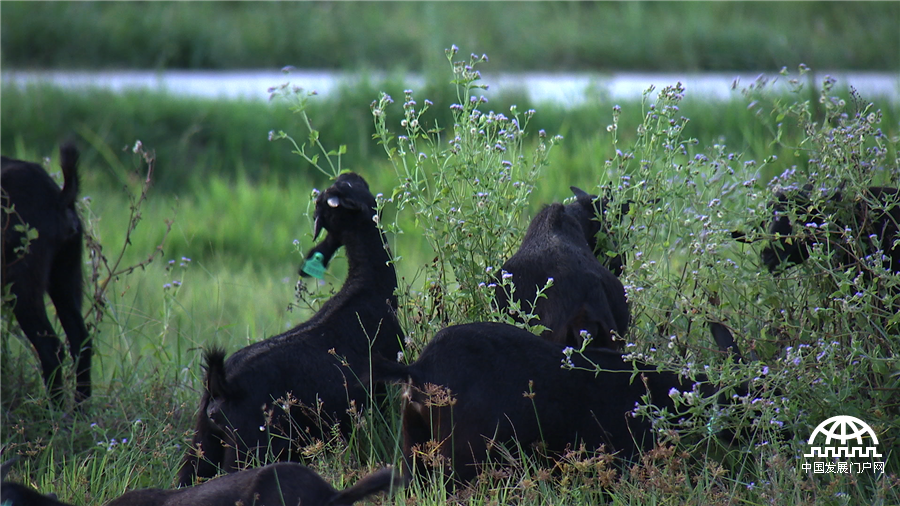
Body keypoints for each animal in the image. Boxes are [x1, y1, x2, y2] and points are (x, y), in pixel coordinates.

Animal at [1, 144, 90, 406]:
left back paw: (55, 411)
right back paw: (80, 408)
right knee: (80, 340)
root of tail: (59, 198)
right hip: (65, 275)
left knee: (50, 347)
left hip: (22, 282)